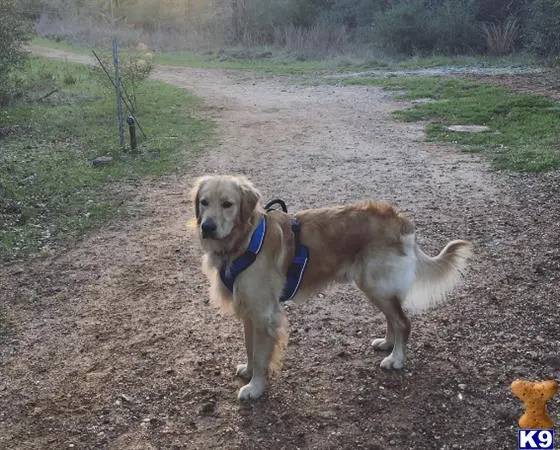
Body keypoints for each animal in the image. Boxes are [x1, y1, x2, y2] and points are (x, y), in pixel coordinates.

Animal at [189, 174, 472, 400]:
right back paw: (388, 343)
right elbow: (250, 347)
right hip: (375, 287)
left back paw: (396, 359)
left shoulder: (264, 313)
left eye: (228, 204)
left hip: (376, 284)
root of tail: (399, 218)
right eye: (204, 202)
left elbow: (260, 355)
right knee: (394, 318)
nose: (207, 227)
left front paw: (255, 387)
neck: (243, 241)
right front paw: (248, 373)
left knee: (403, 321)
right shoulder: (249, 311)